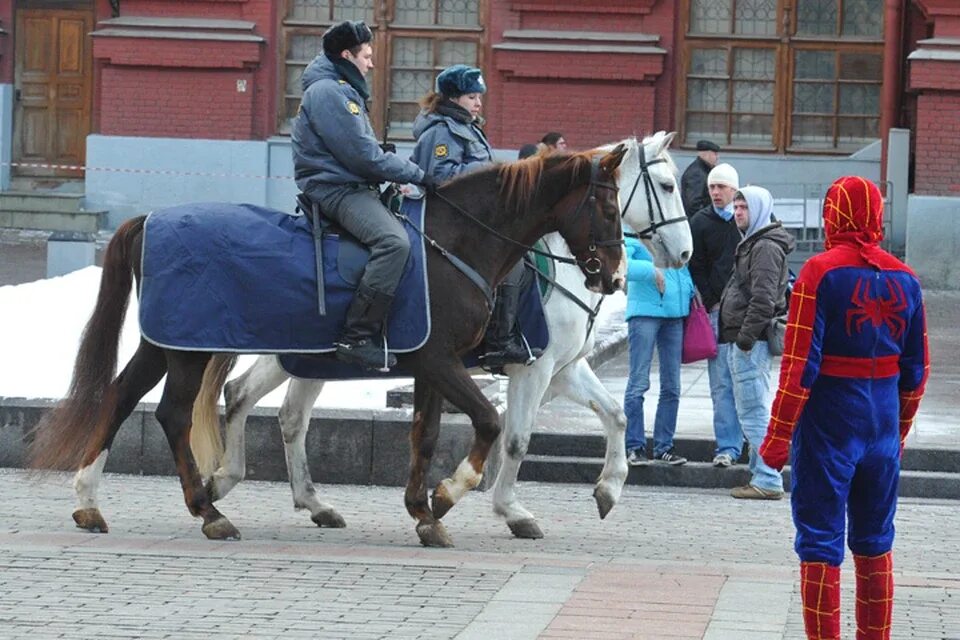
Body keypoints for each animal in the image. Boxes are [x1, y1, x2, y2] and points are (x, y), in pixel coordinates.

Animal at [28, 148, 632, 548]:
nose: (615, 277)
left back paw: (90, 500)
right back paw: (208, 508)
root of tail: (148, 219)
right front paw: (449, 495)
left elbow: (428, 433)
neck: (454, 243)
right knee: (177, 413)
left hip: (169, 343)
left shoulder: (437, 364)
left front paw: (424, 511)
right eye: (609, 209)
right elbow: (494, 424)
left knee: (124, 396)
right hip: (190, 349)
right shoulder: (455, 361)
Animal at [188, 134, 688, 536]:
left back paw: (307, 501)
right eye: (667, 186)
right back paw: (228, 482)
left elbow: (615, 415)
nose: (684, 254)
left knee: (278, 411)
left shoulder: (564, 368)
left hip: (310, 358)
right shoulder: (533, 366)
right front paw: (500, 507)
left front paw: (609, 489)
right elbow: (515, 436)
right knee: (246, 397)